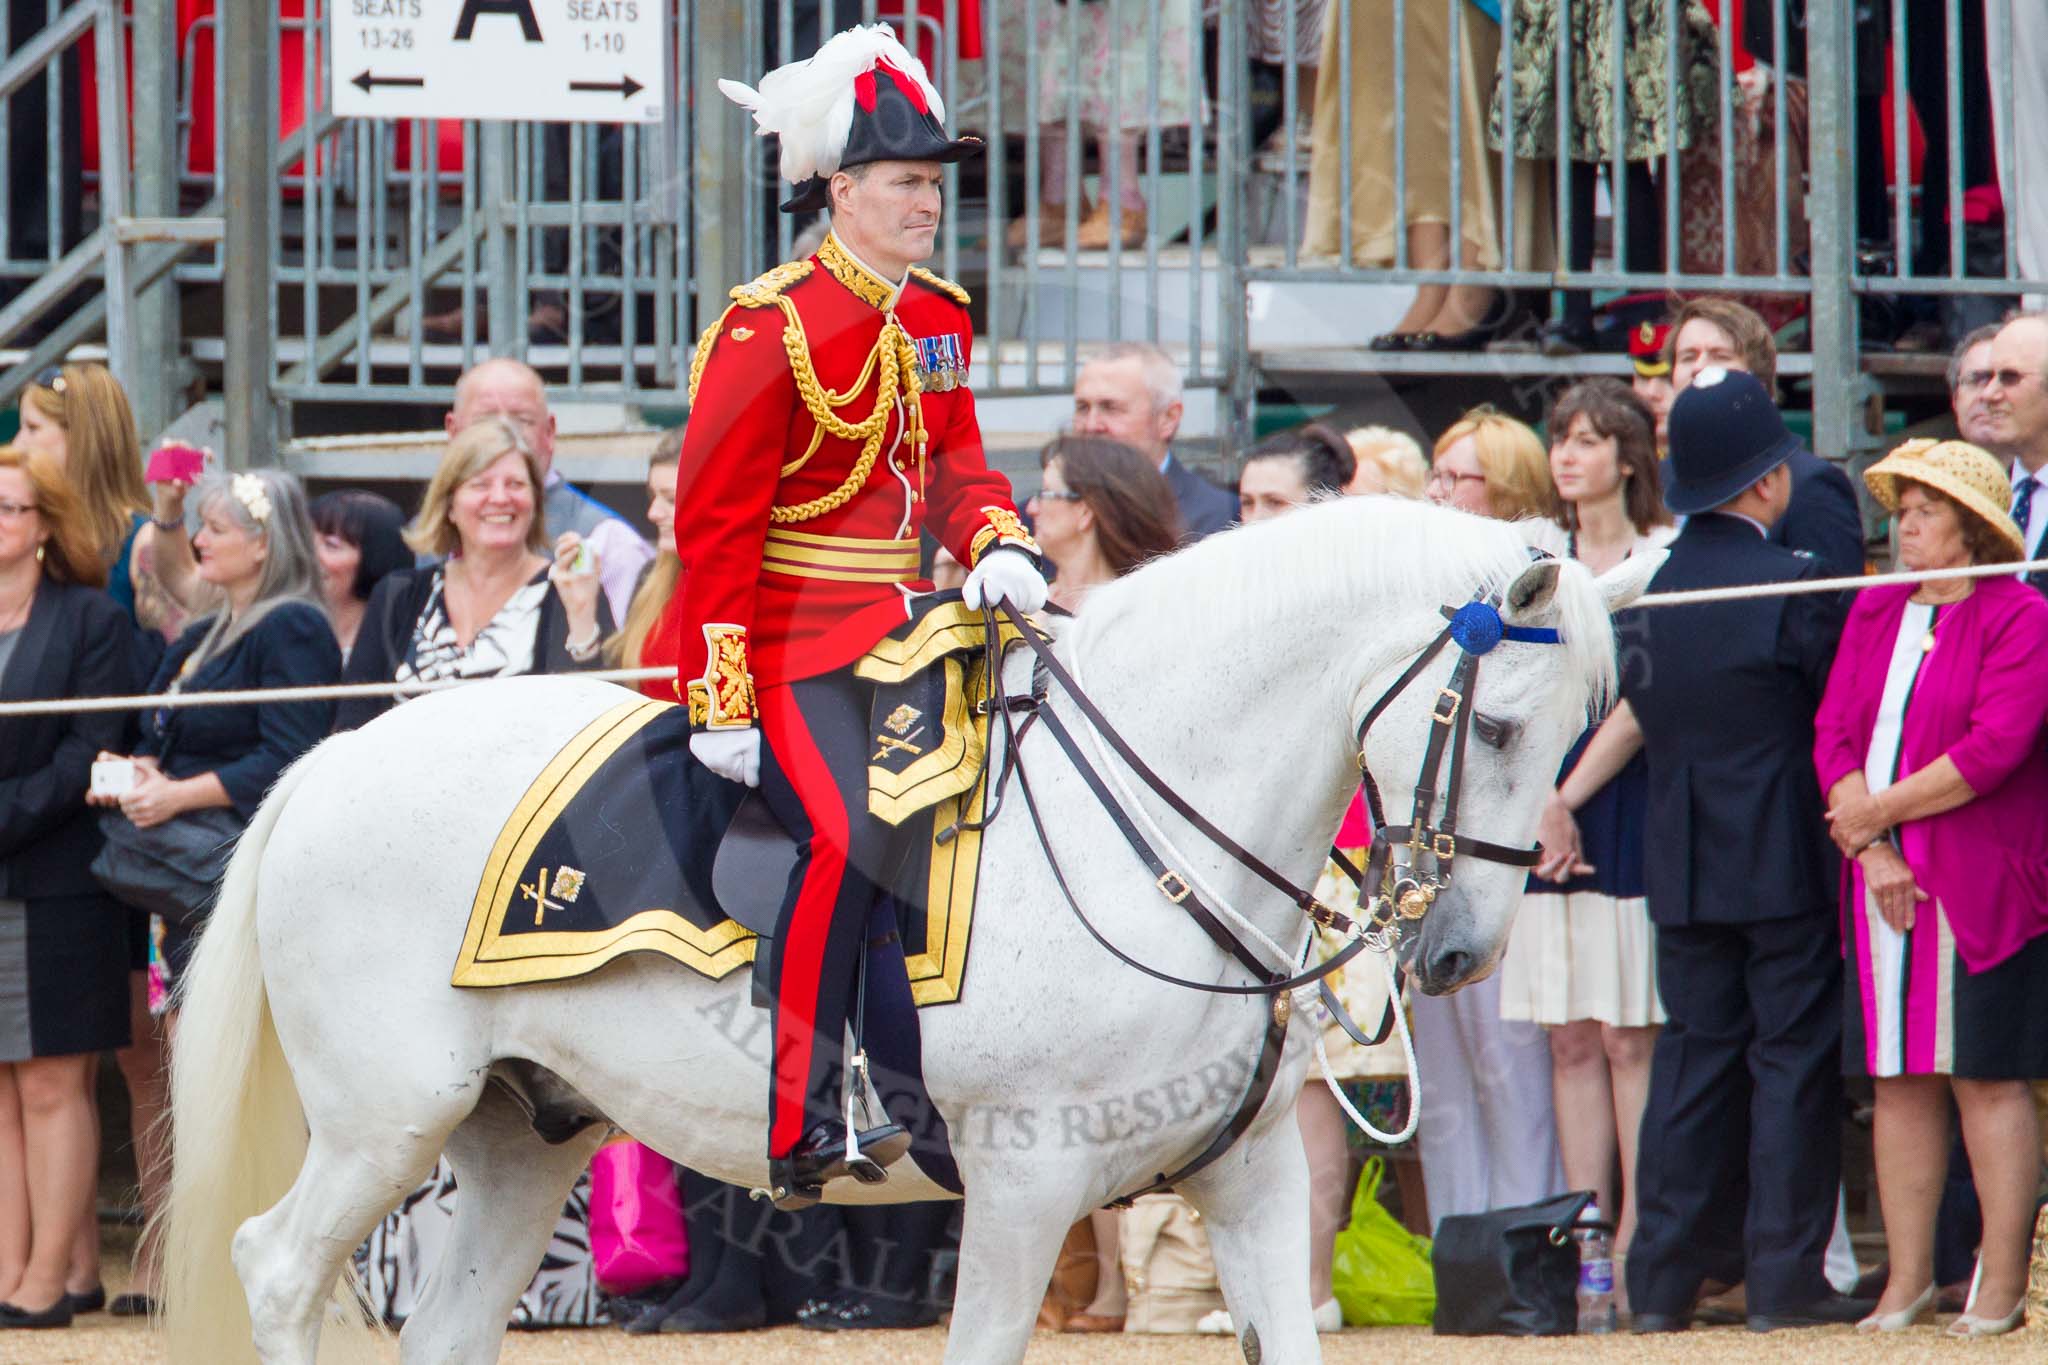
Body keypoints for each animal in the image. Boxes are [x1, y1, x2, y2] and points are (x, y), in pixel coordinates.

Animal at [167, 497, 1654, 1358]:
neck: (1150, 838)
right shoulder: (1020, 1187)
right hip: (385, 1121)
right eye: (1499, 725)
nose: (1458, 952)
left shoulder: (1250, 1180)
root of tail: (328, 761)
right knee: (276, 1268)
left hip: (522, 1134)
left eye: (1579, 733)